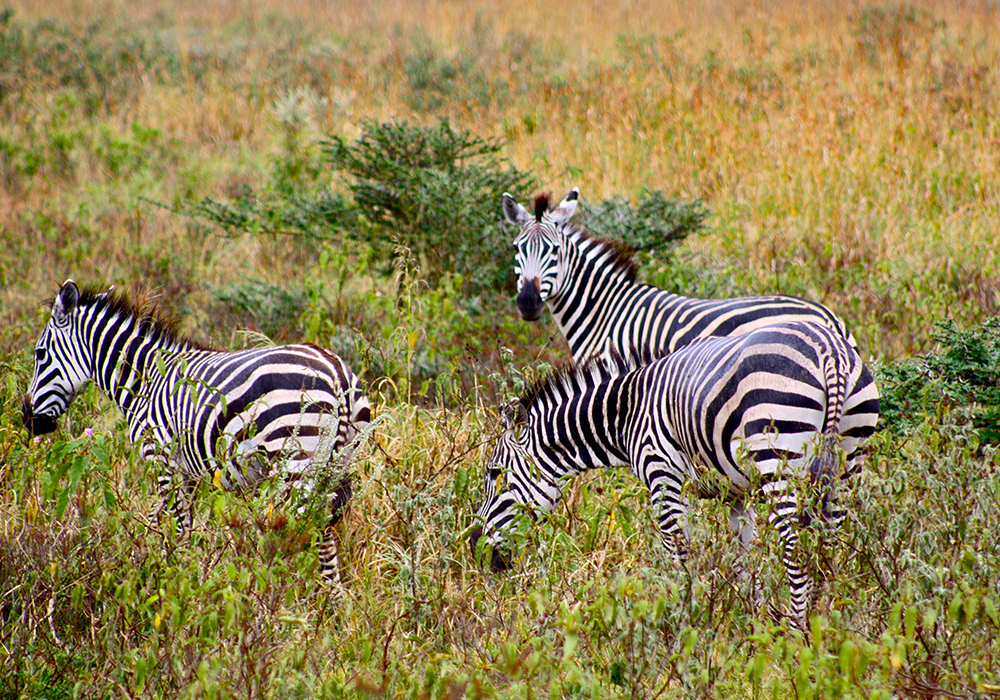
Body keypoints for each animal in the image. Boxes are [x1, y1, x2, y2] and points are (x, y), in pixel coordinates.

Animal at [23, 282, 372, 584]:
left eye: (40, 355)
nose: (28, 421)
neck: (145, 380)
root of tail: (337, 373)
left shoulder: (162, 459)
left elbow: (177, 526)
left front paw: (173, 580)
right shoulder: (186, 472)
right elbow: (160, 520)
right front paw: (145, 566)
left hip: (295, 462)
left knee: (309, 530)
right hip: (337, 463)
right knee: (325, 531)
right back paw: (330, 603)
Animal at [472, 320, 880, 628]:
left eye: (493, 473)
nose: (476, 549)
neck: (626, 414)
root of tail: (830, 350)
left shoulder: (662, 476)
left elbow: (679, 558)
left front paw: (687, 619)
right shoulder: (737, 493)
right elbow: (742, 558)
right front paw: (747, 622)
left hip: (777, 455)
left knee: (796, 549)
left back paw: (796, 633)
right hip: (848, 461)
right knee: (829, 545)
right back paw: (823, 622)